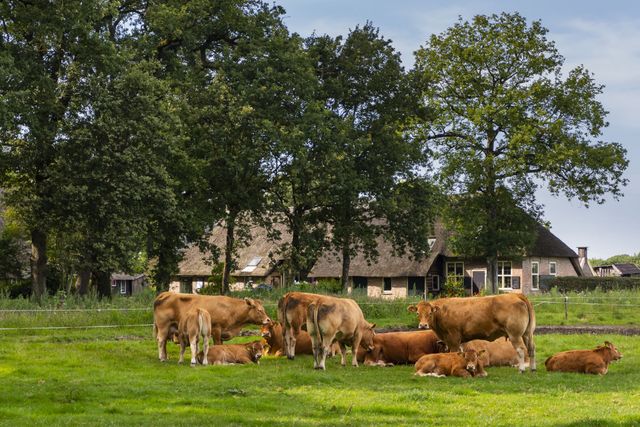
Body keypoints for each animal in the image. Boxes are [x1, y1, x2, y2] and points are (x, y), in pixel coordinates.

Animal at [408, 293, 536, 373]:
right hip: (527, 334)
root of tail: (515, 294)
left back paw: (521, 369)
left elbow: (454, 352)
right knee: (531, 348)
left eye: (430, 313)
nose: (423, 325)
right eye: (417, 313)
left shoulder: (453, 337)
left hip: (515, 334)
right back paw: (533, 369)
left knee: (520, 350)